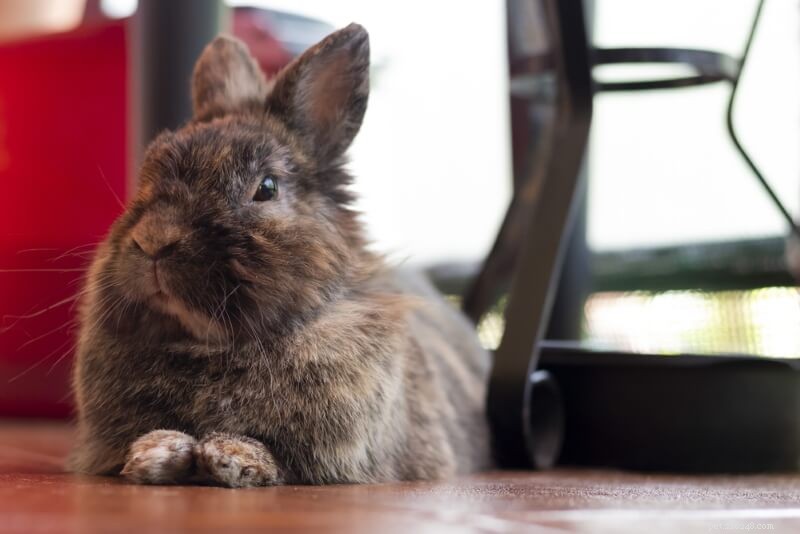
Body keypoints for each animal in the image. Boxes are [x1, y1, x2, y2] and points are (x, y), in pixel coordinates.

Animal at [69, 23, 493, 487]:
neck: (211, 346)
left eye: (267, 188)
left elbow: (280, 458)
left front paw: (230, 454)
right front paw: (154, 452)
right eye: (146, 173)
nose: (153, 241)